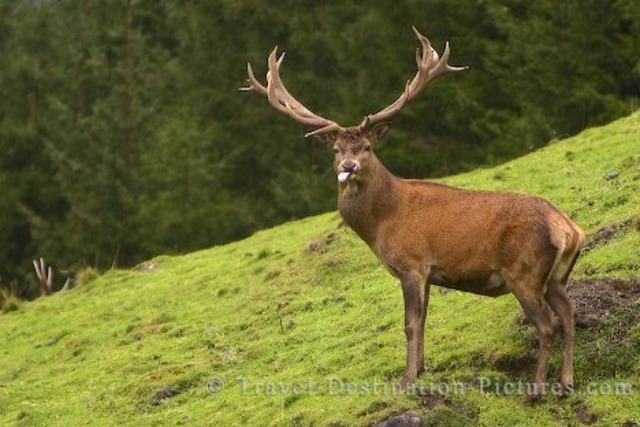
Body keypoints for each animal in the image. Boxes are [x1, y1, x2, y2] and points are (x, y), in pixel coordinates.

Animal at [240, 27, 586, 400]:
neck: (383, 222)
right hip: (556, 277)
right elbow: (423, 321)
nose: (348, 167)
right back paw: (566, 382)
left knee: (548, 324)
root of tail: (568, 229)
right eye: (335, 149)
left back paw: (536, 389)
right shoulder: (431, 274)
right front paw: (420, 370)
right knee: (570, 313)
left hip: (524, 272)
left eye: (367, 147)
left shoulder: (412, 264)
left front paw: (406, 379)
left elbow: (409, 323)